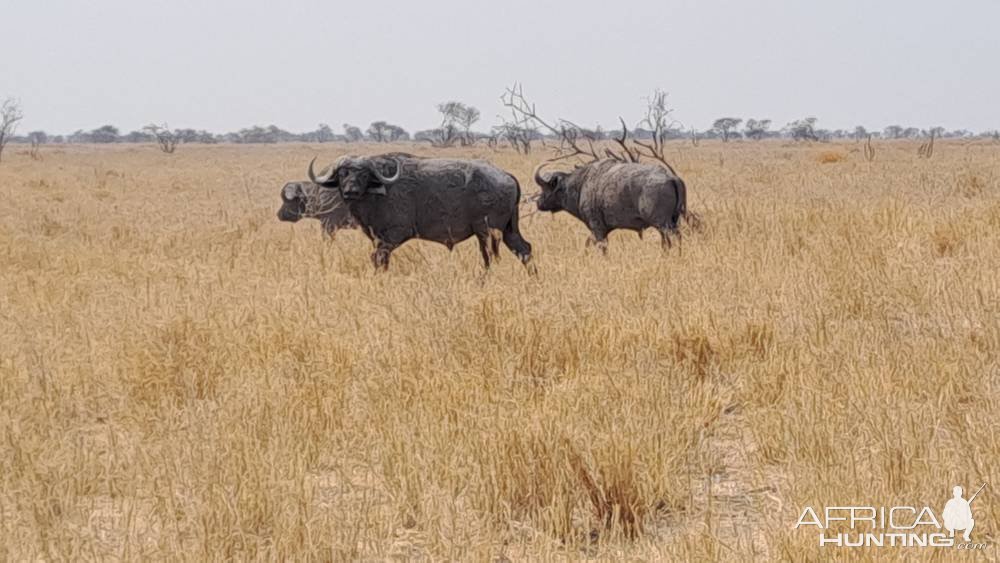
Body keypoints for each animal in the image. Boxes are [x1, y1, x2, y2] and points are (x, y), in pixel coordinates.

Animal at [310, 153, 532, 270]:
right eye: (343, 174)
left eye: (363, 174)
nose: (351, 191)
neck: (378, 192)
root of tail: (505, 174)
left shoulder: (393, 236)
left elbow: (378, 258)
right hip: (508, 231)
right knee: (525, 250)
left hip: (486, 232)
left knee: (489, 259)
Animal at [532, 160, 688, 254]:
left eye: (545, 187)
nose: (538, 203)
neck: (581, 185)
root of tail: (671, 177)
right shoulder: (597, 232)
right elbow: (587, 245)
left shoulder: (598, 230)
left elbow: (602, 250)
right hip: (671, 223)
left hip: (663, 225)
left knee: (674, 239)